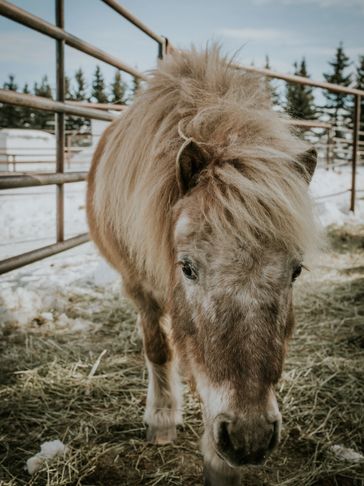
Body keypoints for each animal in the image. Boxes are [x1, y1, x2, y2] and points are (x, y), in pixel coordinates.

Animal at [86, 46, 318, 486]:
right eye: (188, 268)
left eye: (296, 270)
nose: (249, 437)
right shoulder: (138, 286)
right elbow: (159, 349)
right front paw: (161, 419)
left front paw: (219, 463)